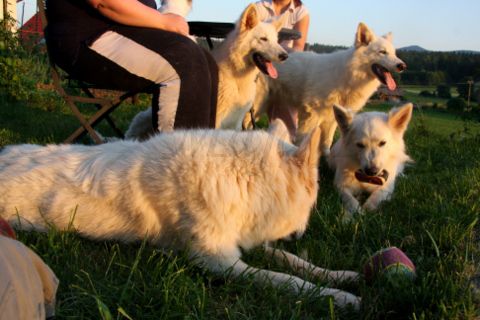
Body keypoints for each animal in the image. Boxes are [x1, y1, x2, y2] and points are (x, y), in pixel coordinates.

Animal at [0, 121, 360, 308]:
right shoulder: (219, 262)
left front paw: (341, 276)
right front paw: (338, 297)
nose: (300, 234)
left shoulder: (240, 243)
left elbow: (295, 262)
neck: (237, 177)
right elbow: (285, 279)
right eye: (312, 202)